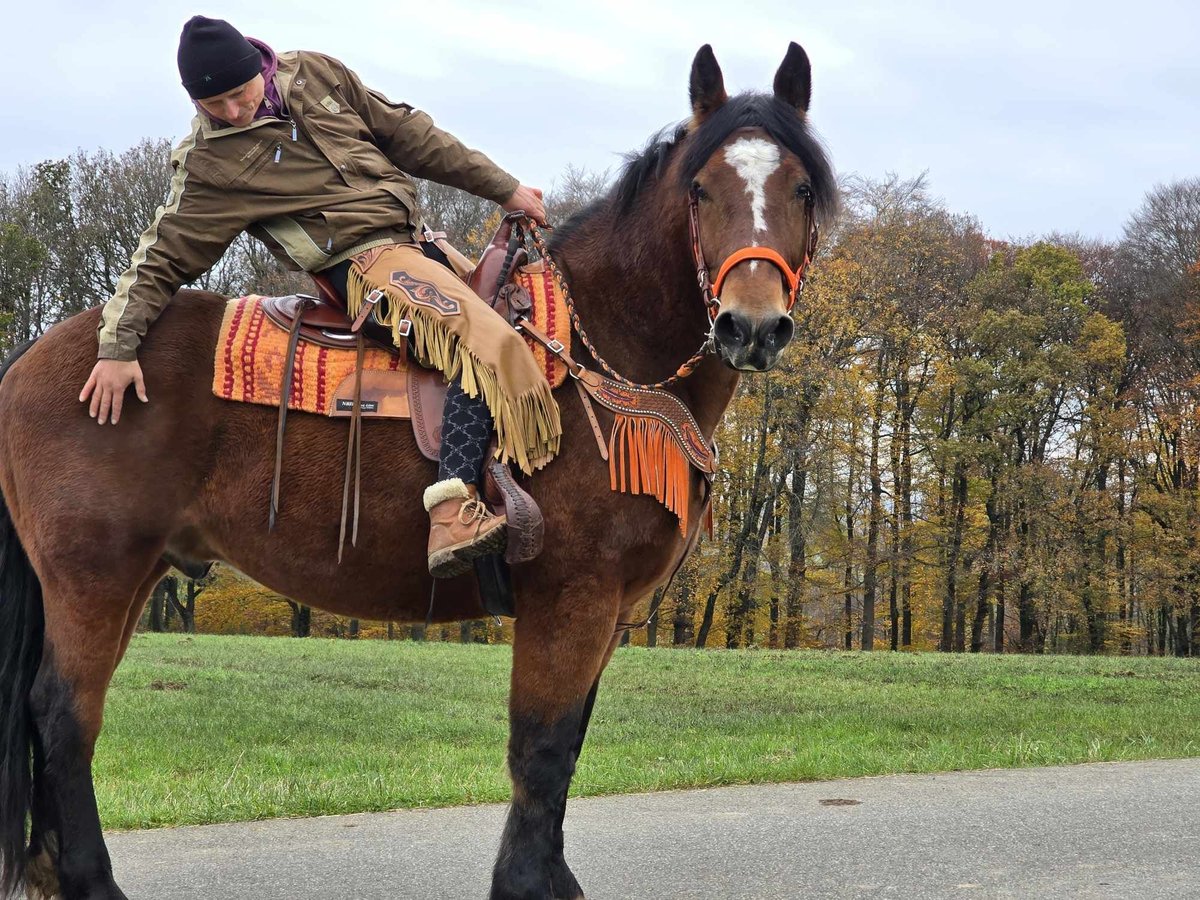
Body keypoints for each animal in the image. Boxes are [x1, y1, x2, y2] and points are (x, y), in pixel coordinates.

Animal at [0, 40, 835, 900]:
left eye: (801, 187)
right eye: (701, 191)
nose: (751, 325)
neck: (602, 347)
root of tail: (46, 352)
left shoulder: (604, 615)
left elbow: (567, 750)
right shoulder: (572, 599)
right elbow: (541, 748)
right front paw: (525, 882)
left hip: (131, 576)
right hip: (94, 575)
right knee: (64, 715)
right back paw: (91, 880)